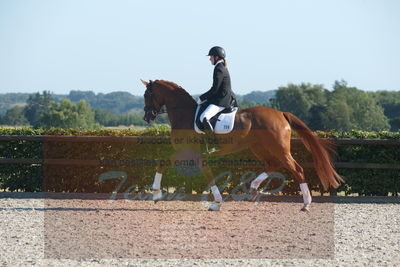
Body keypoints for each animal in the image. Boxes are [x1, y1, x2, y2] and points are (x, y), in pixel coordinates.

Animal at [141, 79, 344, 211]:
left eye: (147, 95)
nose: (147, 117)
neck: (185, 114)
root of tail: (281, 113)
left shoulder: (190, 152)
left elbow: (207, 175)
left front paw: (216, 202)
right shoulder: (188, 153)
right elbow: (163, 164)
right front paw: (156, 195)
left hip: (278, 148)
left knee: (297, 169)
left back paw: (306, 204)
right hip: (259, 148)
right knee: (273, 164)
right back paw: (253, 189)